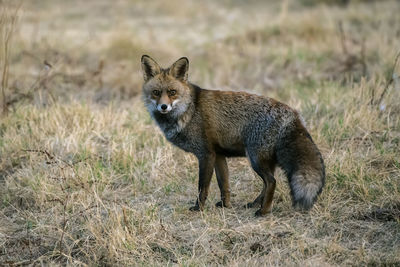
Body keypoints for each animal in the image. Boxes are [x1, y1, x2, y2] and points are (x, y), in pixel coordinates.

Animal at [141, 55, 324, 218]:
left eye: (172, 92)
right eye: (156, 92)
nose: (163, 107)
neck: (189, 110)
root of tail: (293, 114)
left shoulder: (206, 154)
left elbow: (202, 187)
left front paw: (199, 208)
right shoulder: (218, 155)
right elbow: (224, 185)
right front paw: (225, 205)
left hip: (255, 159)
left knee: (272, 182)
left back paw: (263, 211)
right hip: (263, 160)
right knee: (267, 183)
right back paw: (255, 203)